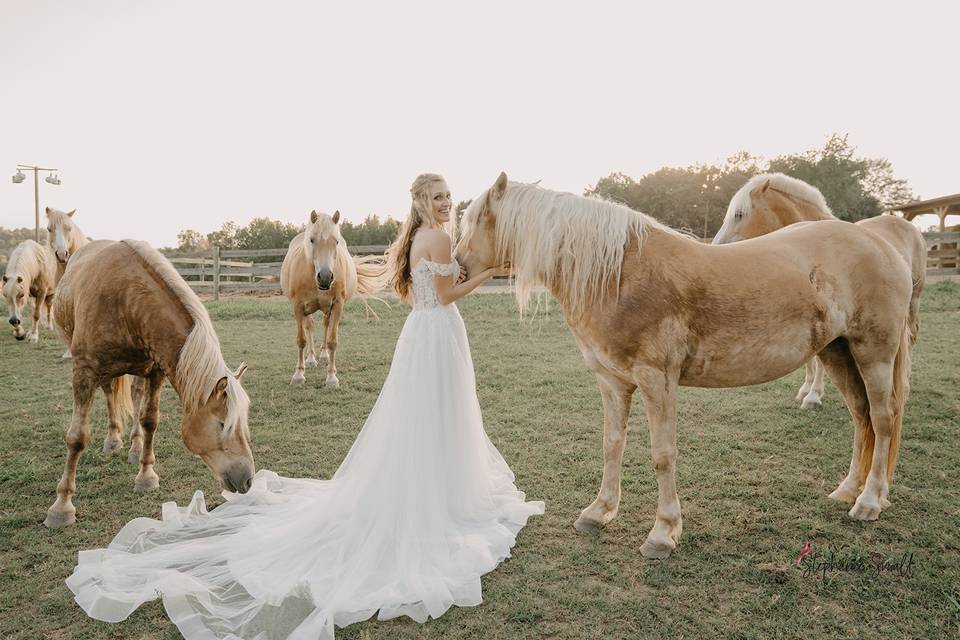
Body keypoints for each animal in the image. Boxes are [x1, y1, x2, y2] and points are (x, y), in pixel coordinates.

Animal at [45, 238, 256, 528]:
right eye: (223, 424)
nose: (248, 479)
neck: (125, 300)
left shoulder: (156, 371)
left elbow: (149, 421)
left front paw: (146, 475)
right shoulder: (84, 372)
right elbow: (77, 438)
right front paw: (61, 506)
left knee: (134, 397)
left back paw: (134, 446)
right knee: (110, 394)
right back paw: (113, 440)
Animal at [278, 211, 386, 384]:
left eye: (336, 241)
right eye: (311, 239)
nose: (325, 277)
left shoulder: (337, 305)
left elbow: (332, 341)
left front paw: (331, 377)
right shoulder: (298, 306)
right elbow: (301, 340)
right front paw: (299, 374)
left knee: (325, 325)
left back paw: (323, 355)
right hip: (307, 310)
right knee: (310, 326)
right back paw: (311, 359)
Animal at [712, 171, 924, 410]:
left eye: (739, 214)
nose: (716, 247)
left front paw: (813, 396)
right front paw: (805, 389)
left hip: (913, 303)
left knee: (911, 338)